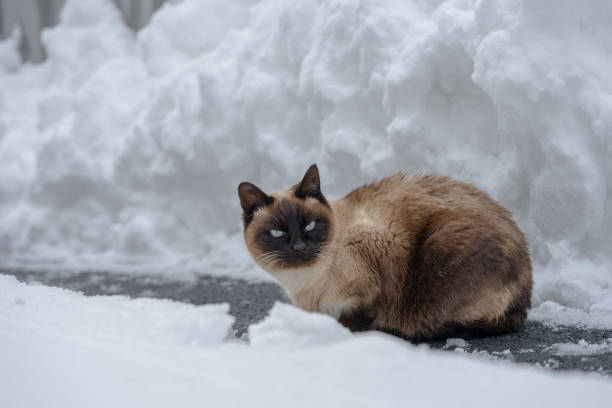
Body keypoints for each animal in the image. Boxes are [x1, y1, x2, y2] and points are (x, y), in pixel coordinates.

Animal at [237, 164, 532, 340]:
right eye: (277, 233)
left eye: (310, 225)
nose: (299, 247)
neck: (305, 283)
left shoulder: (369, 286)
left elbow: (353, 319)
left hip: (440, 245)